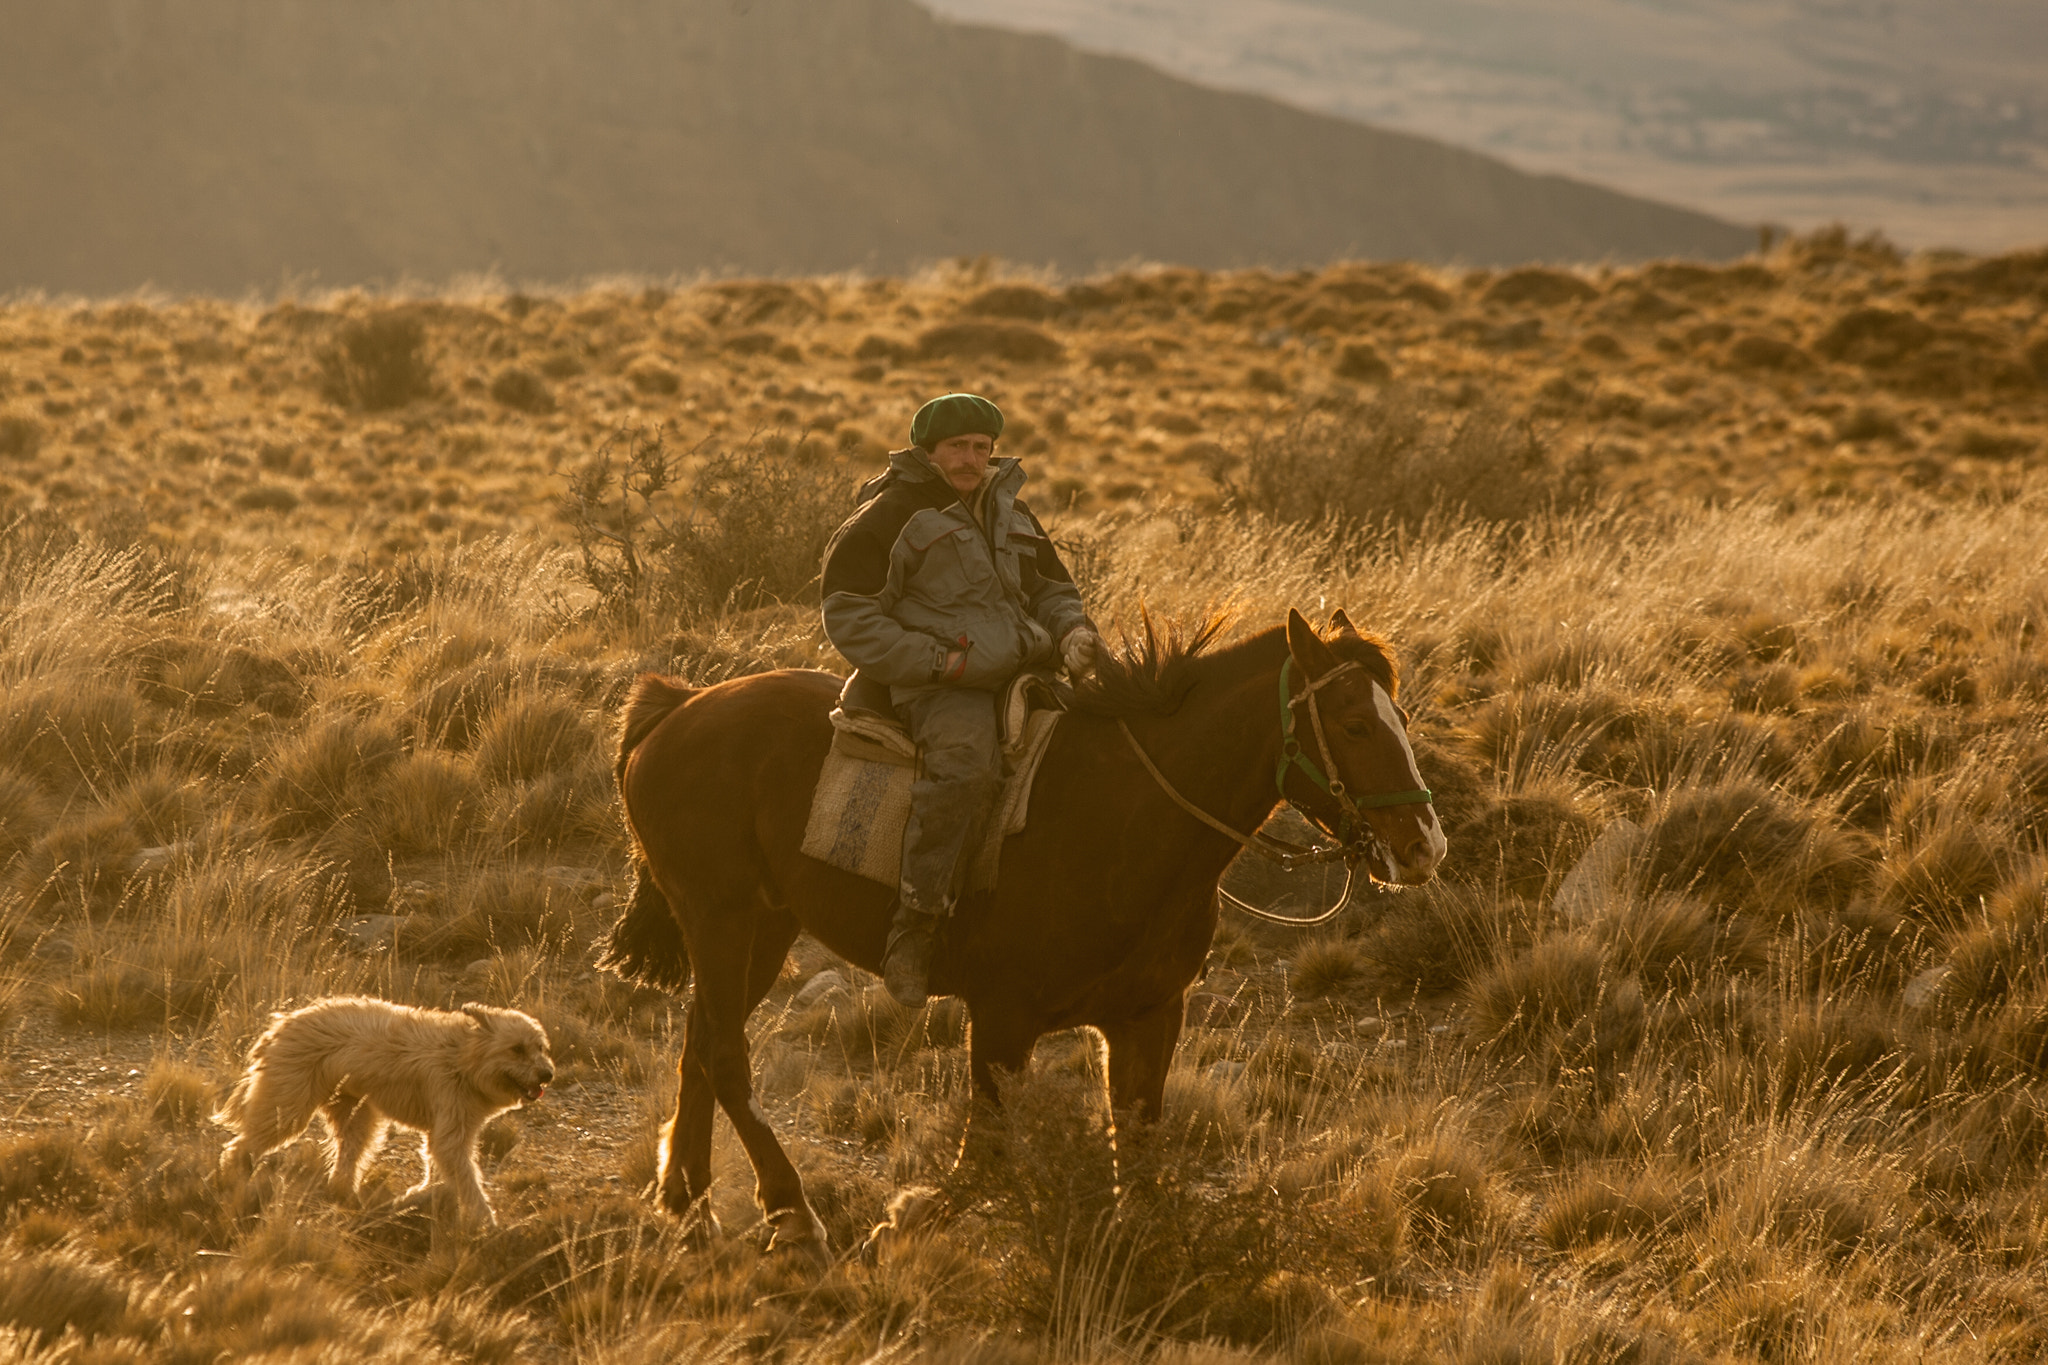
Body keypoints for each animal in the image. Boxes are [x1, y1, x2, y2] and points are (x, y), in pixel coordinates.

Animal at [218, 994, 552, 1227]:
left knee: (344, 1162)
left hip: (358, 1112)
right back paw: (235, 1180)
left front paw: (421, 1194)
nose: (547, 1075)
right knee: (242, 1145)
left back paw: (351, 1200)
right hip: (289, 1105)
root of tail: (281, 1022)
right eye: (516, 1049)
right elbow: (465, 1176)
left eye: (540, 1047)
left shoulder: (447, 1125)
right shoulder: (450, 1122)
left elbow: (439, 1167)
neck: (462, 1058)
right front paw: (487, 1221)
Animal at [598, 609, 1449, 1260]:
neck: (1127, 815)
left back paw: (688, 1201)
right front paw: (903, 1220)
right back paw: (792, 1213)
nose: (1423, 846)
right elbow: (988, 1154)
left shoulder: (1147, 1018)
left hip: (763, 926)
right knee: (725, 1057)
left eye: (1401, 720)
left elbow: (1136, 1150)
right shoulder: (1002, 1021)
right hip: (721, 918)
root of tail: (675, 709)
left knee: (700, 1041)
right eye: (1353, 723)